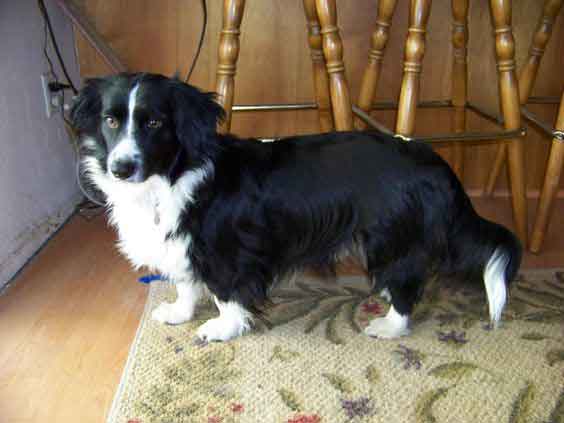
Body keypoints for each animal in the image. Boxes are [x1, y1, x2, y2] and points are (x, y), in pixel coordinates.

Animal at [70, 73, 520, 344]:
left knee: (407, 283)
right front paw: (181, 313)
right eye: (111, 121)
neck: (171, 177)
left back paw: (390, 325)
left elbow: (224, 293)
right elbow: (185, 283)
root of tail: (435, 161)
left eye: (154, 124)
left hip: (388, 238)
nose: (121, 167)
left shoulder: (224, 252)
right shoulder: (181, 244)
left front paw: (221, 328)